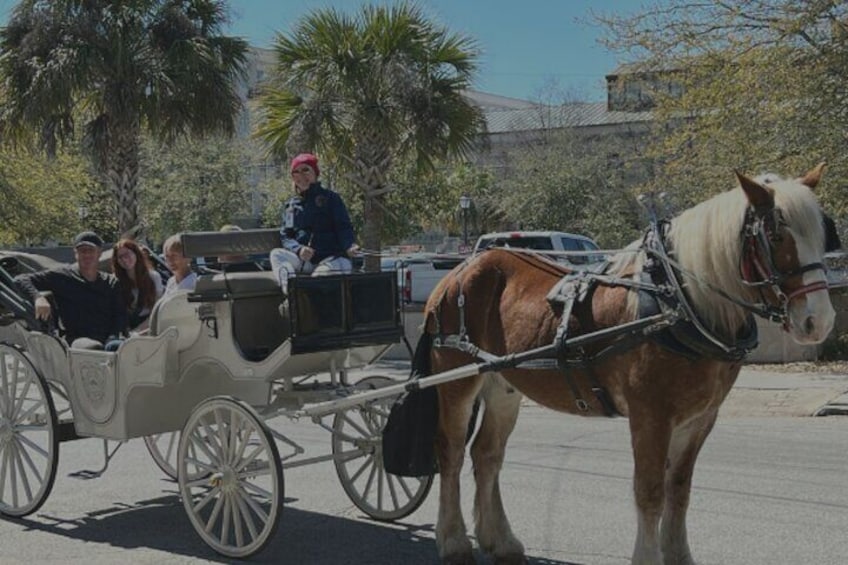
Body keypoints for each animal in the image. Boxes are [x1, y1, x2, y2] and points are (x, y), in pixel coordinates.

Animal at [422, 161, 836, 560]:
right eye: (775, 237)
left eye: (823, 234)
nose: (819, 321)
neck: (677, 300)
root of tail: (460, 271)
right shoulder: (650, 415)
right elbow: (650, 493)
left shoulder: (700, 419)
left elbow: (679, 490)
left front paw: (678, 554)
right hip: (455, 382)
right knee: (451, 452)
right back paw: (454, 540)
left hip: (503, 386)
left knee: (487, 454)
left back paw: (500, 540)